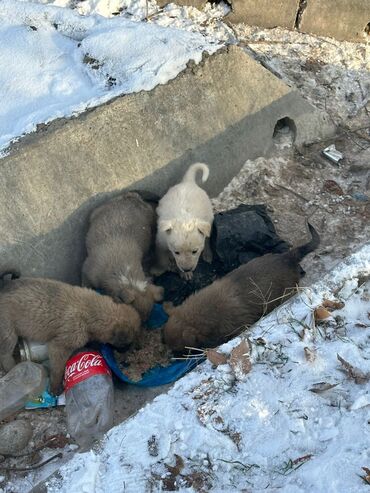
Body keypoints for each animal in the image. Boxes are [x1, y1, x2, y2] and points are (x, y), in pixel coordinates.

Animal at [0, 274, 141, 394]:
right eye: (127, 343)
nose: (134, 349)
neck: (91, 311)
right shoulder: (60, 346)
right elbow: (57, 369)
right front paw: (55, 387)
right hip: (8, 332)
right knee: (5, 355)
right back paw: (13, 369)